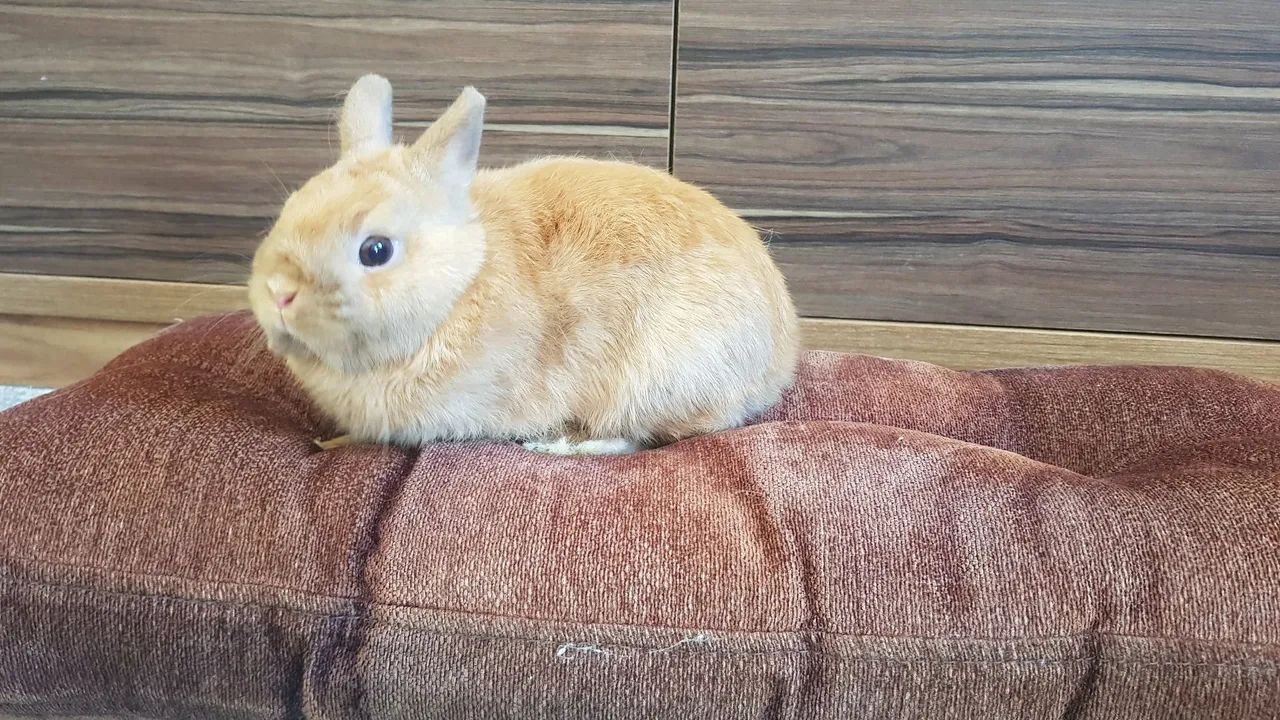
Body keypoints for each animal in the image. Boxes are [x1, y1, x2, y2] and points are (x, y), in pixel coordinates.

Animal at [248, 74, 799, 455]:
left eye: (376, 251)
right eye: (289, 208)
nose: (279, 292)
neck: (459, 288)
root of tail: (781, 354)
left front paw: (333, 444)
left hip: (652, 384)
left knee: (645, 436)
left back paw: (559, 445)